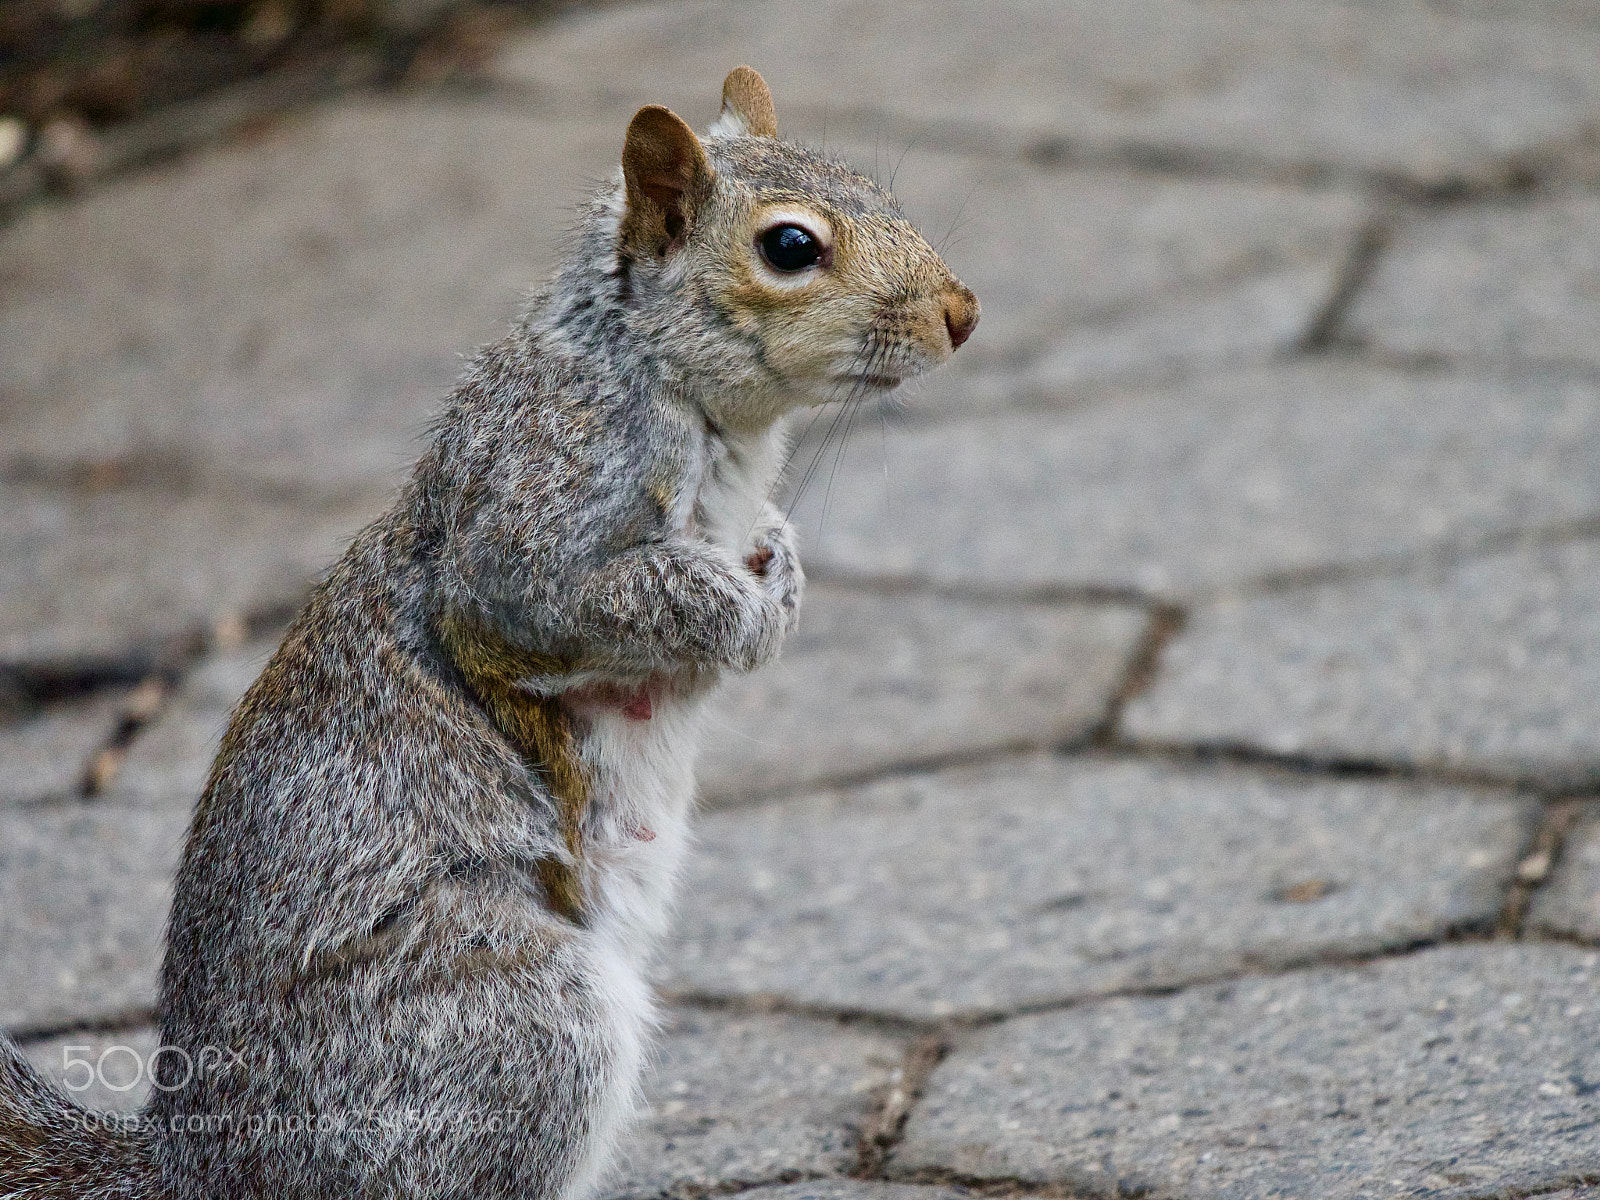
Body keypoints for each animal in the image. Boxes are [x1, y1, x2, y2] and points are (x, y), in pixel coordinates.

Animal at [0, 66, 978, 1200]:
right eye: (789, 247)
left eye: (873, 184)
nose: (962, 313)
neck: (669, 387)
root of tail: (202, 1165)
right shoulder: (529, 522)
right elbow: (561, 599)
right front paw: (732, 611)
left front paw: (781, 569)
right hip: (517, 1023)